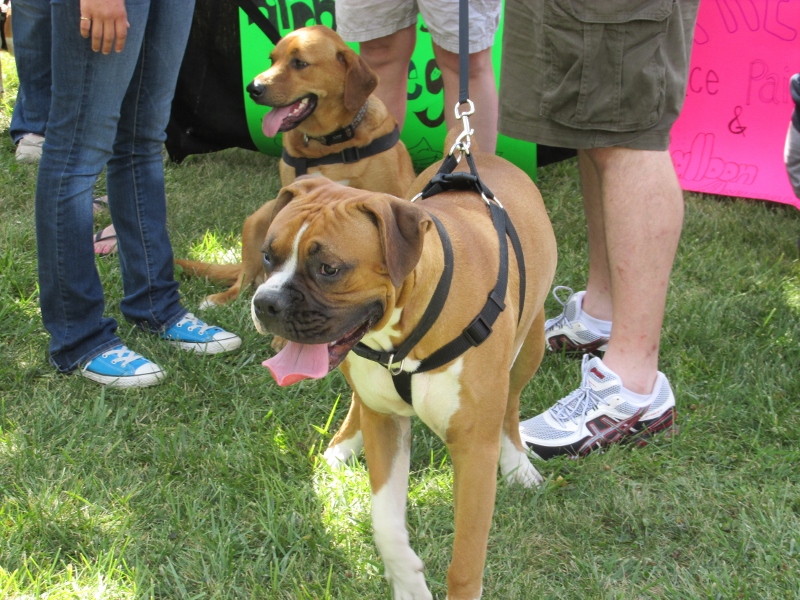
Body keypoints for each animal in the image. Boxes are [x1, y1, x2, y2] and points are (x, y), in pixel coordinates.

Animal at [176, 25, 415, 308]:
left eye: (299, 63)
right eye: (272, 59)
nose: (253, 88)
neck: (328, 143)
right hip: (257, 220)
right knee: (243, 280)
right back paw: (221, 298)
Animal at [249, 147, 557, 599]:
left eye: (329, 269)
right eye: (268, 256)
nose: (265, 303)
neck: (408, 327)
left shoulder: (474, 453)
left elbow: (465, 564)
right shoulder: (387, 425)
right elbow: (385, 526)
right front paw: (408, 582)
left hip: (531, 343)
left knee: (511, 407)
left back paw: (517, 463)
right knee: (357, 401)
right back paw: (343, 445)